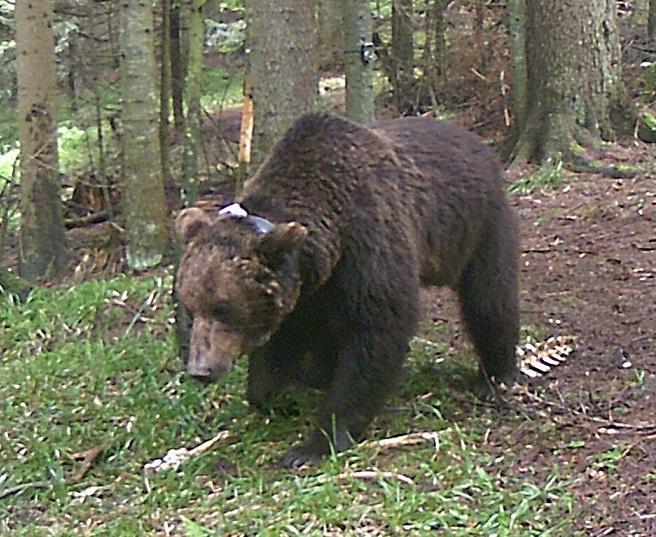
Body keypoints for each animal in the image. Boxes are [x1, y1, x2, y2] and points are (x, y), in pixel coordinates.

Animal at [177, 112, 520, 464]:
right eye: (190, 307)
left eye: (223, 309)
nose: (200, 370)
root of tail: (475, 142)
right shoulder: (307, 289)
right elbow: (283, 346)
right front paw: (284, 394)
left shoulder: (368, 243)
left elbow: (376, 331)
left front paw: (316, 442)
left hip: (479, 226)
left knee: (489, 298)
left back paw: (496, 374)